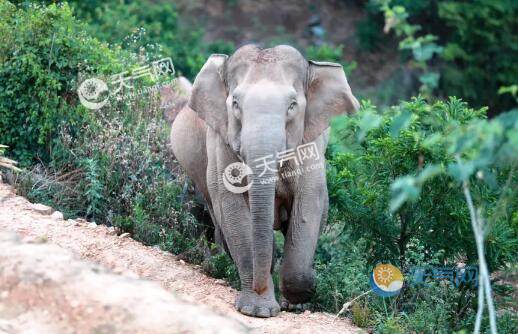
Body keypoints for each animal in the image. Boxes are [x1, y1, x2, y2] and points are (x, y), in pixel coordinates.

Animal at [169, 45, 360, 318]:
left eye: (292, 105)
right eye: (235, 104)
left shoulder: (309, 144)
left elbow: (308, 204)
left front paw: (300, 296)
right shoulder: (221, 141)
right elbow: (232, 207)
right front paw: (257, 311)